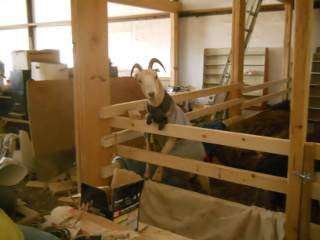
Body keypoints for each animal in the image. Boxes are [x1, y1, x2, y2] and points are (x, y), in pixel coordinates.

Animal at [130, 58, 212, 195]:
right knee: (187, 184)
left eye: (156, 76)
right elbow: (148, 153)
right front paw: (147, 174)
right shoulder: (147, 135)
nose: (151, 93)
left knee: (208, 190)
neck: (158, 112)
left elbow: (163, 154)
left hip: (202, 177)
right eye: (139, 80)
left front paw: (157, 177)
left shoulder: (172, 138)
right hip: (182, 177)